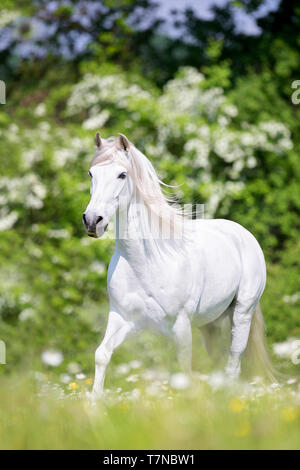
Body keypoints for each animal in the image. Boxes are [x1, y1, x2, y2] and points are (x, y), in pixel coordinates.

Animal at [83, 131, 274, 396]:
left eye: (122, 174)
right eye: (92, 174)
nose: (93, 221)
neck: (145, 264)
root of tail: (242, 234)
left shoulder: (180, 326)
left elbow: (183, 368)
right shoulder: (122, 318)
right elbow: (101, 355)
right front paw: (95, 402)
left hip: (242, 312)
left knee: (233, 363)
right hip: (210, 324)